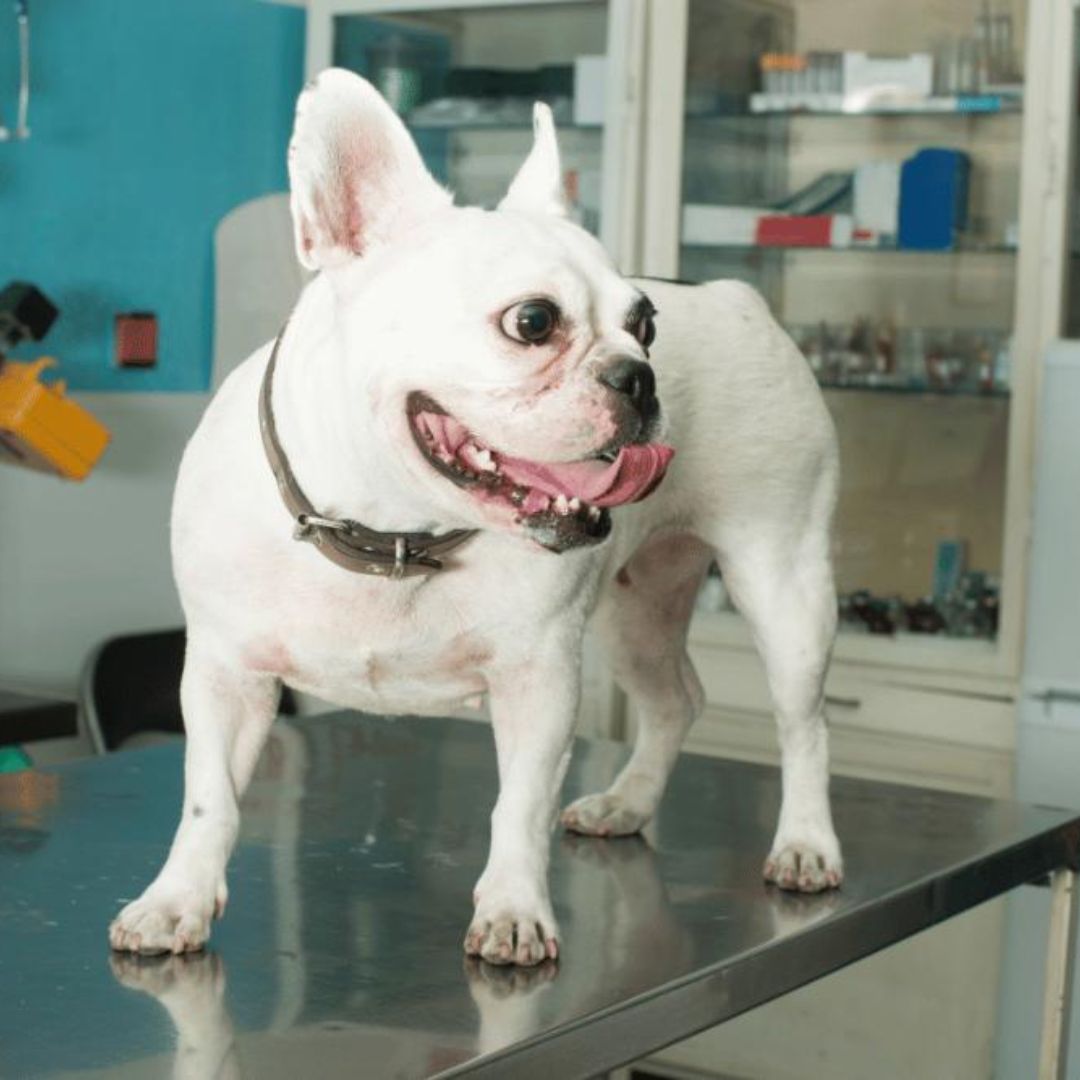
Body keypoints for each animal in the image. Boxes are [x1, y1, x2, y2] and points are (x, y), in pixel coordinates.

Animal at [107, 71, 842, 967]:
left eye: (645, 324)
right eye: (533, 321)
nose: (639, 375)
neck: (393, 532)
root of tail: (740, 296)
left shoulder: (539, 679)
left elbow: (517, 805)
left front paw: (515, 910)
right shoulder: (224, 674)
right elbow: (207, 796)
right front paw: (174, 900)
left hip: (784, 580)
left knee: (803, 723)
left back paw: (805, 844)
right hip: (637, 608)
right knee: (676, 700)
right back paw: (627, 803)